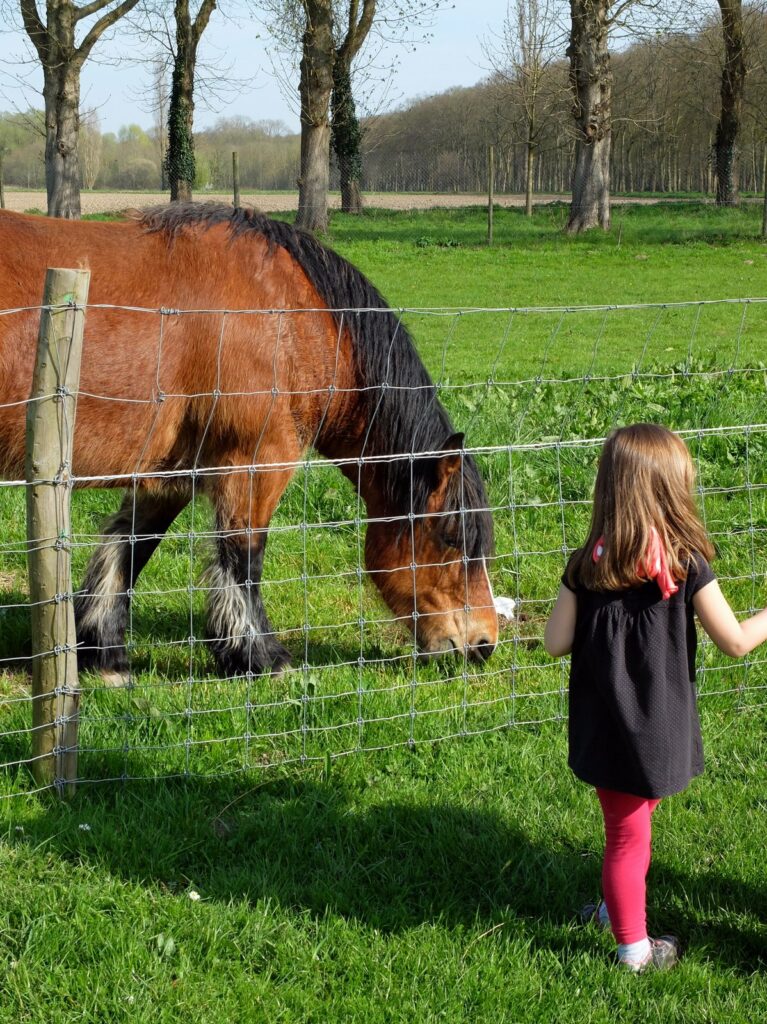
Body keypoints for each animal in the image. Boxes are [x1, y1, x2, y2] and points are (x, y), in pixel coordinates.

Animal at [0, 203, 497, 679]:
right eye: (451, 538)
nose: (484, 643)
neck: (290, 317)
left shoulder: (169, 473)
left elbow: (130, 546)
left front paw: (105, 655)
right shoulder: (256, 463)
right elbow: (244, 558)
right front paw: (260, 657)